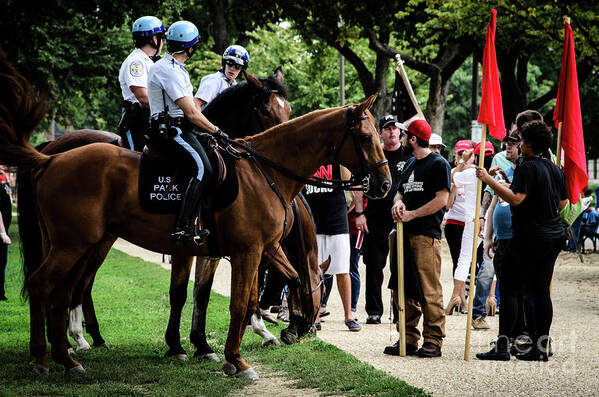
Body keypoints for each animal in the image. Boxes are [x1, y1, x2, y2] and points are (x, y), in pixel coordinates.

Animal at [0, 57, 392, 378]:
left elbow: (262, 286)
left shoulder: (253, 249)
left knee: (64, 289)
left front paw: (219, 343)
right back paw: (50, 356)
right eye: (366, 135)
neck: (264, 171)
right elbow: (234, 301)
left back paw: (69, 354)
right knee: (46, 285)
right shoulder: (245, 252)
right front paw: (233, 358)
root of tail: (51, 157)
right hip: (76, 244)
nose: (385, 184)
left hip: (78, 243)